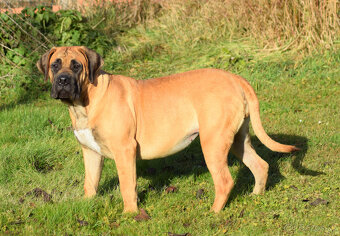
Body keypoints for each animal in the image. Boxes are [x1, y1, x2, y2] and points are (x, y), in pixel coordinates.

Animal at [35, 47, 298, 213]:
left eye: (77, 66)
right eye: (55, 65)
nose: (63, 81)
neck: (84, 103)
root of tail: (235, 78)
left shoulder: (124, 151)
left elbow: (127, 186)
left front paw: (130, 214)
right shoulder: (90, 152)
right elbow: (90, 183)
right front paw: (87, 205)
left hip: (212, 142)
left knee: (224, 181)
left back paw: (213, 213)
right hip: (237, 140)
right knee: (259, 165)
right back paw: (256, 196)